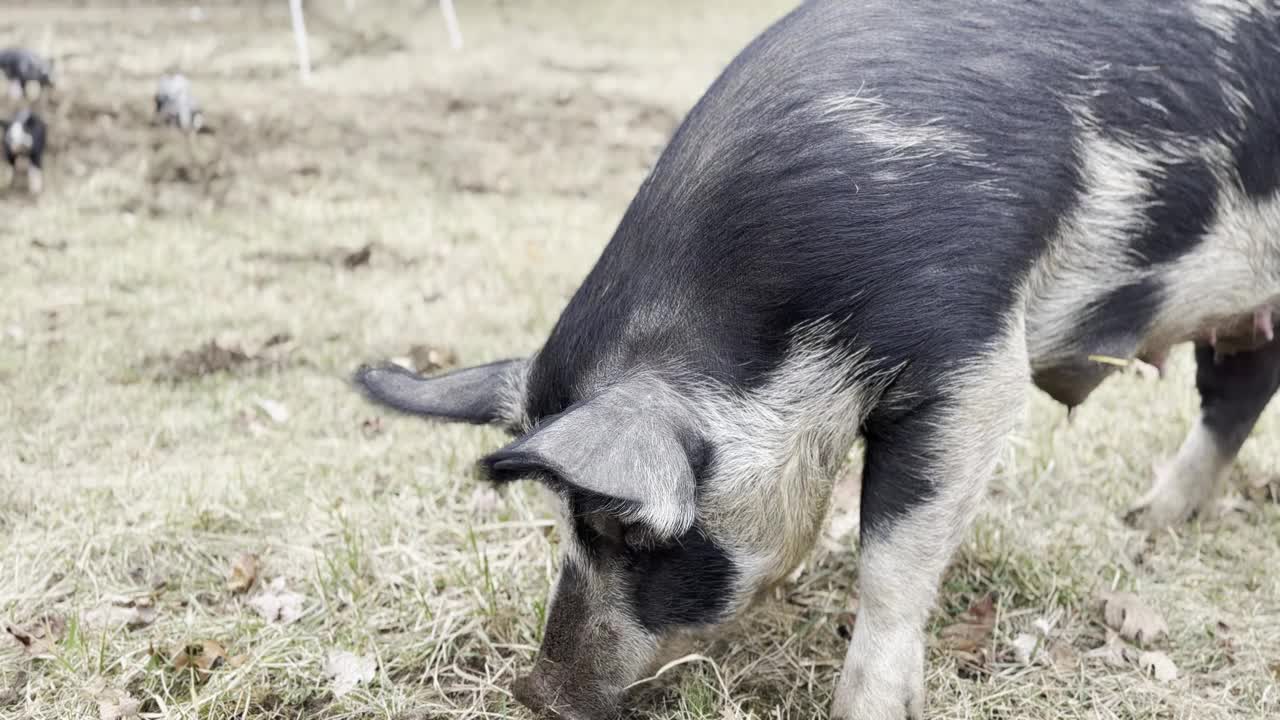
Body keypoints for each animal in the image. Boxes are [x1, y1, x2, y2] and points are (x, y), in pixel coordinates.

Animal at [353, 2, 1280, 712]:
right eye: (563, 525)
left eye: (625, 528)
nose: (536, 695)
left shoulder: (971, 350)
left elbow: (894, 553)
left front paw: (867, 709)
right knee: (1235, 397)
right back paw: (1145, 521)